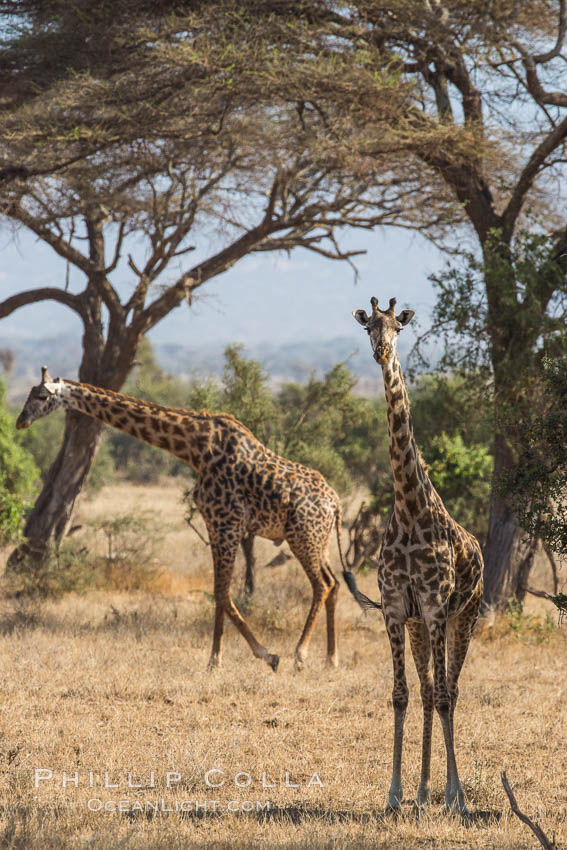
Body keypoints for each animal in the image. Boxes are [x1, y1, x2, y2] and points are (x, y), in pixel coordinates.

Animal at [16, 368, 364, 672]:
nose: (21, 421)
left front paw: (264, 655)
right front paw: (216, 660)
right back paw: (331, 660)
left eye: (40, 396)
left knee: (322, 585)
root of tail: (335, 503)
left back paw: (300, 654)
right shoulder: (215, 524)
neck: (195, 448)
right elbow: (220, 593)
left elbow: (222, 592)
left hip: (302, 537)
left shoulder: (226, 523)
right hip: (318, 540)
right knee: (334, 583)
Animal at [352, 298, 482, 816]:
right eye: (369, 326)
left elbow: (445, 697)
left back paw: (446, 794)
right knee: (428, 691)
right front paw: (395, 795)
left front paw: (456, 796)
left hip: (463, 617)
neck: (408, 506)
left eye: (397, 327)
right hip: (418, 626)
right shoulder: (394, 608)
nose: (382, 352)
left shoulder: (433, 605)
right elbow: (401, 695)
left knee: (452, 691)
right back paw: (424, 792)